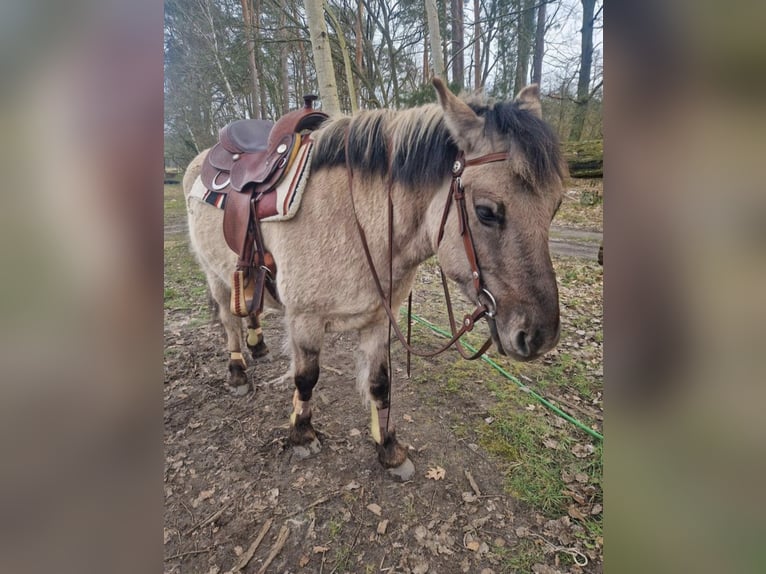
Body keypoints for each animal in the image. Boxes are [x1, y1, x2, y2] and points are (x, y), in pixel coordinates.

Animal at [183, 77, 568, 482]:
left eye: (555, 206)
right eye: (486, 212)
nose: (540, 336)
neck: (353, 220)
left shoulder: (380, 319)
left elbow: (380, 383)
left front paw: (389, 448)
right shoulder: (305, 319)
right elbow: (306, 378)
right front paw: (302, 434)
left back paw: (257, 345)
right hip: (215, 276)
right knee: (229, 321)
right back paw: (238, 372)